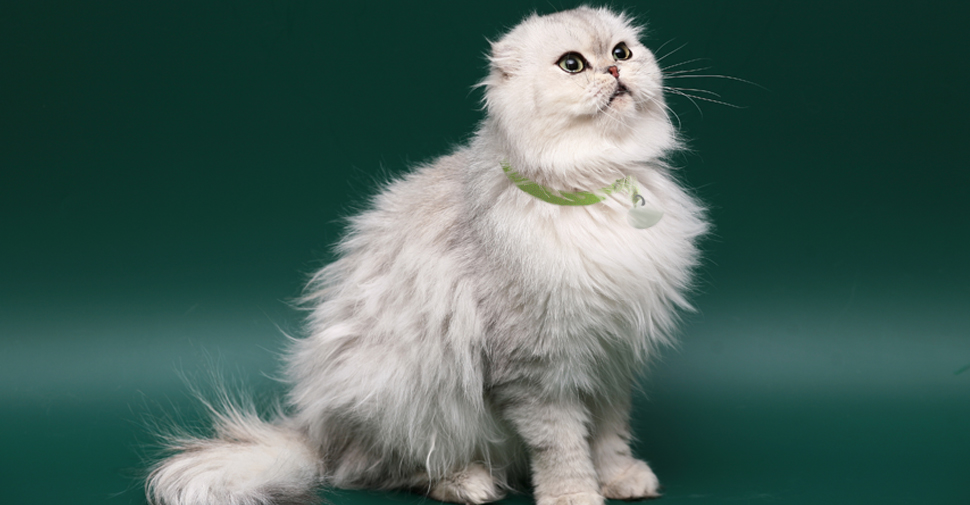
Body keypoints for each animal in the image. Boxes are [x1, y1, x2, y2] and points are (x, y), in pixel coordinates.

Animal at [146, 6, 704, 504]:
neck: (596, 183)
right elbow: (563, 446)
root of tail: (316, 433)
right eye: (573, 64)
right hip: (407, 401)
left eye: (622, 51)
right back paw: (467, 484)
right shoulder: (537, 370)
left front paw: (618, 478)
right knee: (377, 472)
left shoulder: (610, 359)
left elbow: (608, 436)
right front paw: (575, 496)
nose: (614, 70)